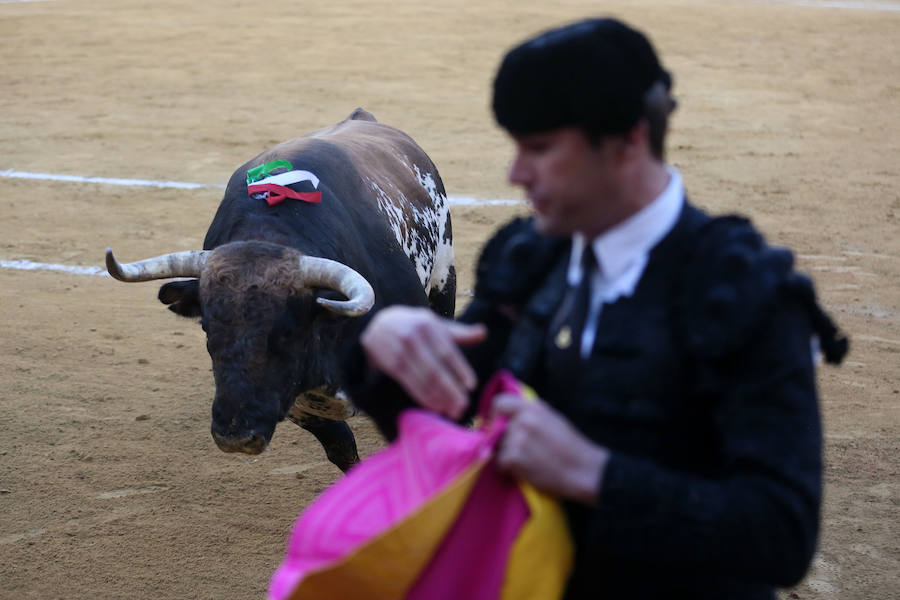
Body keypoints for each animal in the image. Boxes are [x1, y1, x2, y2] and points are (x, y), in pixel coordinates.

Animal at [106, 109, 458, 474]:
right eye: (207, 328)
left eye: (288, 331)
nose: (235, 436)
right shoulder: (294, 402)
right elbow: (341, 446)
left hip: (443, 279)